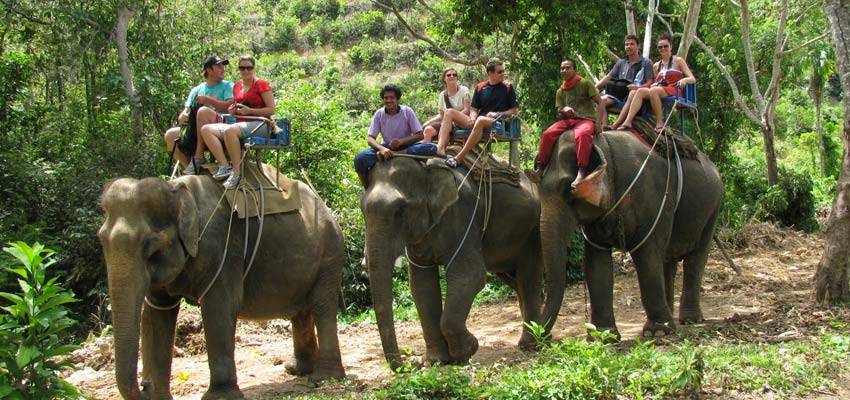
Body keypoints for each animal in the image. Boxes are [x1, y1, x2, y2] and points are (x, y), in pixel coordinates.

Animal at [98, 170, 346, 400]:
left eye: (151, 247)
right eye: (100, 239)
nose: (145, 386)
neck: (178, 191)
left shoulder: (222, 250)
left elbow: (219, 307)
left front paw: (221, 396)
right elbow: (157, 314)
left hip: (330, 254)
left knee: (322, 306)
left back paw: (323, 377)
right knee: (302, 312)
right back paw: (297, 370)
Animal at [360, 156, 544, 369]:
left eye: (399, 211)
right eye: (362, 210)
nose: (407, 364)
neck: (426, 170)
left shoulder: (463, 214)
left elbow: (470, 274)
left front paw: (467, 351)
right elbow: (421, 284)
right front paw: (435, 361)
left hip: (532, 232)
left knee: (528, 277)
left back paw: (530, 344)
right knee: (515, 279)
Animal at [538, 129, 722, 339]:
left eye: (568, 190)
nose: (543, 338)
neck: (605, 145)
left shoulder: (651, 198)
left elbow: (647, 257)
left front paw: (656, 333)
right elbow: (595, 264)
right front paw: (603, 336)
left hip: (712, 209)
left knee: (695, 258)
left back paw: (689, 320)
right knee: (668, 260)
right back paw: (672, 319)